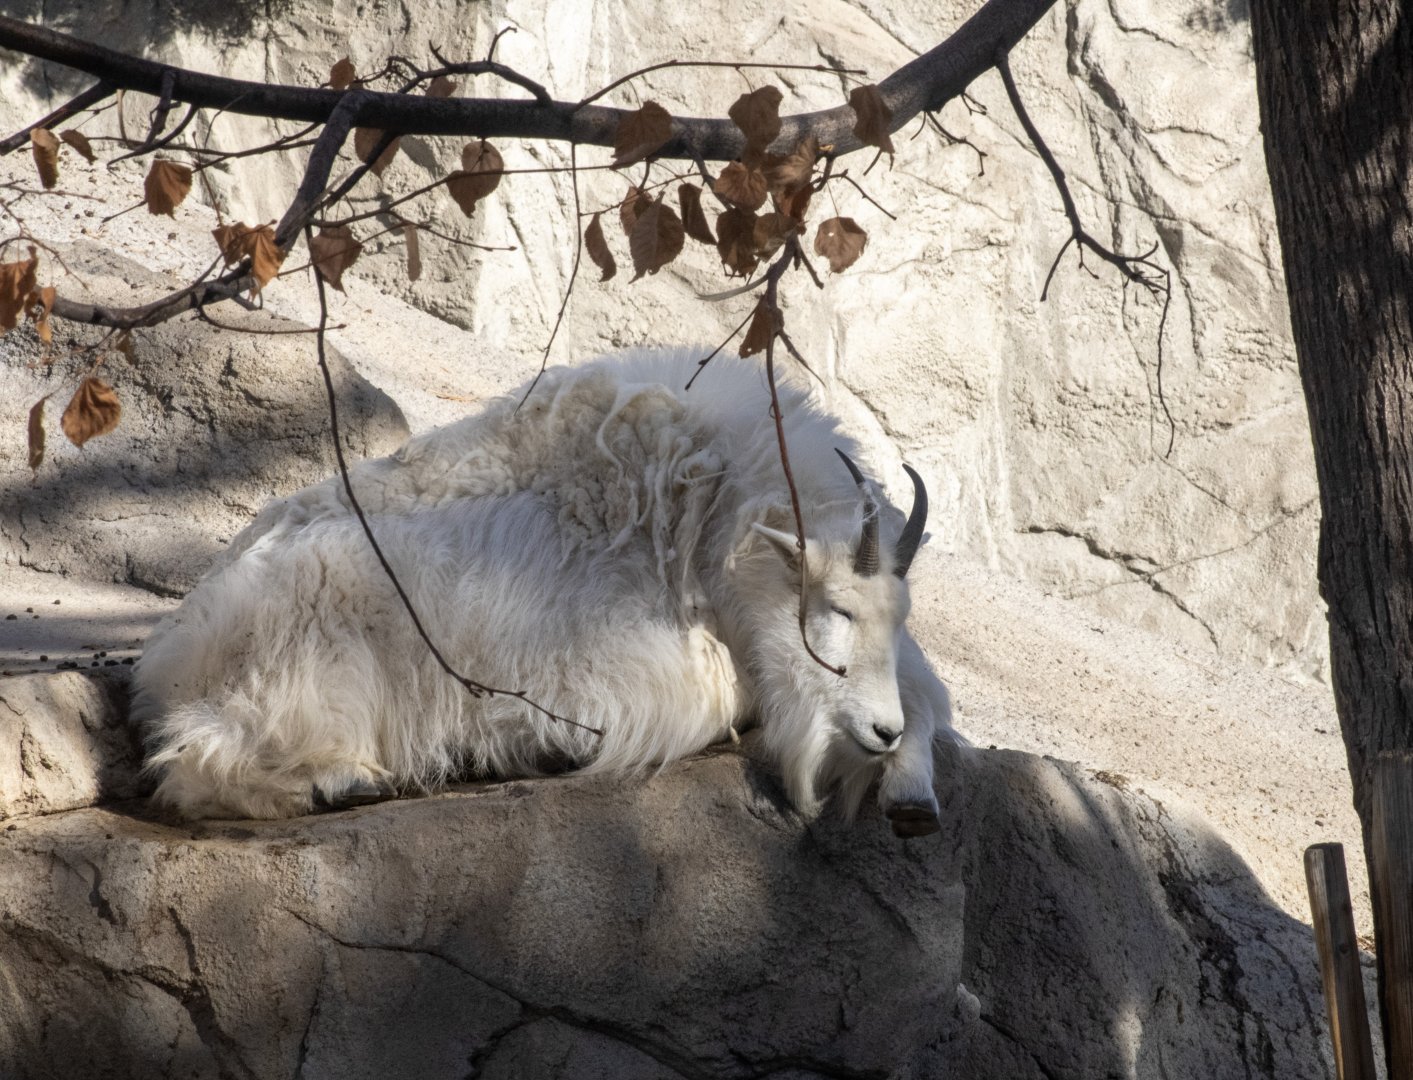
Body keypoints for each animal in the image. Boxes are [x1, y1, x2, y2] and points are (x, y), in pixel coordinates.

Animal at [134, 349, 955, 835]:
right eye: (834, 610)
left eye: (894, 619)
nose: (878, 730)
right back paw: (344, 781)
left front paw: (913, 790)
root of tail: (170, 660)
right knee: (199, 764)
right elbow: (719, 690)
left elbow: (925, 686)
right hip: (312, 640)